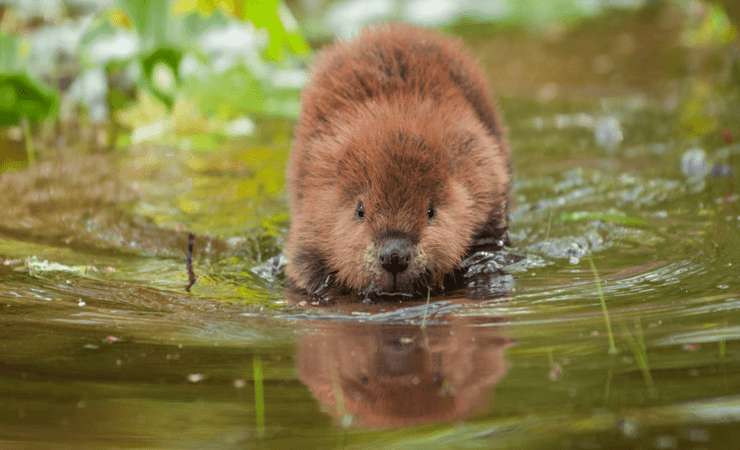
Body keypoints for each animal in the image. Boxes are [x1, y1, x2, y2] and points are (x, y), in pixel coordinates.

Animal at [286, 25, 512, 298]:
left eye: (430, 211)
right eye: (360, 210)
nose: (394, 257)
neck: (394, 117)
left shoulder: (484, 170)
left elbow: (491, 238)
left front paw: (483, 269)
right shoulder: (313, 202)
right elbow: (304, 263)